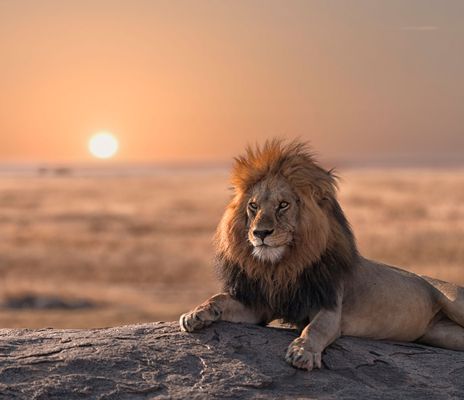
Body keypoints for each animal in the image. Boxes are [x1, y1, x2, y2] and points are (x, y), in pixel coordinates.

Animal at [179, 139, 464, 370]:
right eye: (254, 206)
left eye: (283, 205)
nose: (261, 233)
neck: (282, 266)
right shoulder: (260, 305)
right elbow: (219, 299)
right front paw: (195, 314)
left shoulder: (329, 307)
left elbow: (314, 329)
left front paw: (302, 352)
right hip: (441, 334)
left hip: (454, 301)